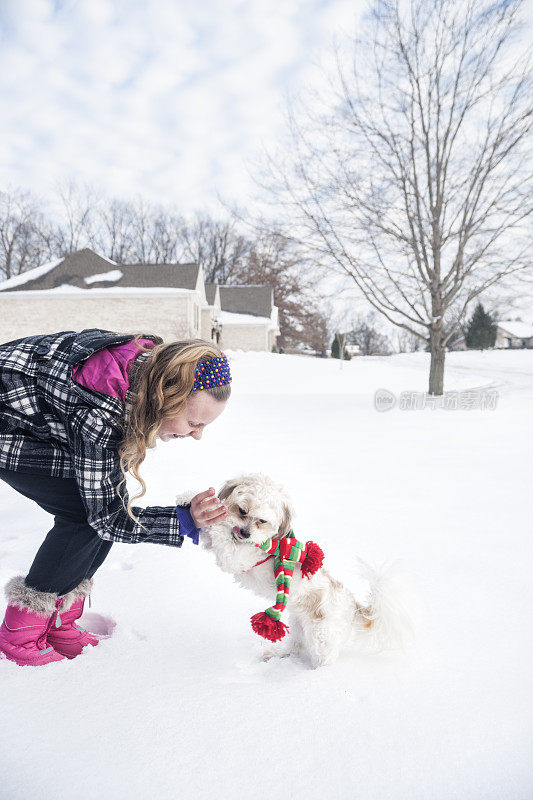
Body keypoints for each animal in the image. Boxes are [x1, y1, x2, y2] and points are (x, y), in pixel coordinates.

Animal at [177, 476, 410, 668]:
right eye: (242, 510)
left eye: (262, 521)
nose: (245, 533)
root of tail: (353, 606)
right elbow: (208, 531)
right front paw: (189, 500)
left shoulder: (234, 556)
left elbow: (220, 531)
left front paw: (216, 516)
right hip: (299, 624)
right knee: (296, 646)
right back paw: (279, 656)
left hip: (322, 636)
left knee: (323, 658)